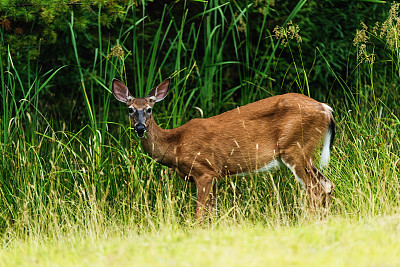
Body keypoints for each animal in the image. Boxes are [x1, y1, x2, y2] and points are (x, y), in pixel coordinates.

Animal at [112, 78, 334, 223]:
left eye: (149, 109)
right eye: (130, 109)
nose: (140, 128)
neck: (176, 145)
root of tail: (326, 109)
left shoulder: (204, 171)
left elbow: (199, 213)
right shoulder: (214, 176)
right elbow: (213, 212)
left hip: (295, 147)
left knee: (315, 189)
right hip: (304, 152)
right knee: (327, 185)